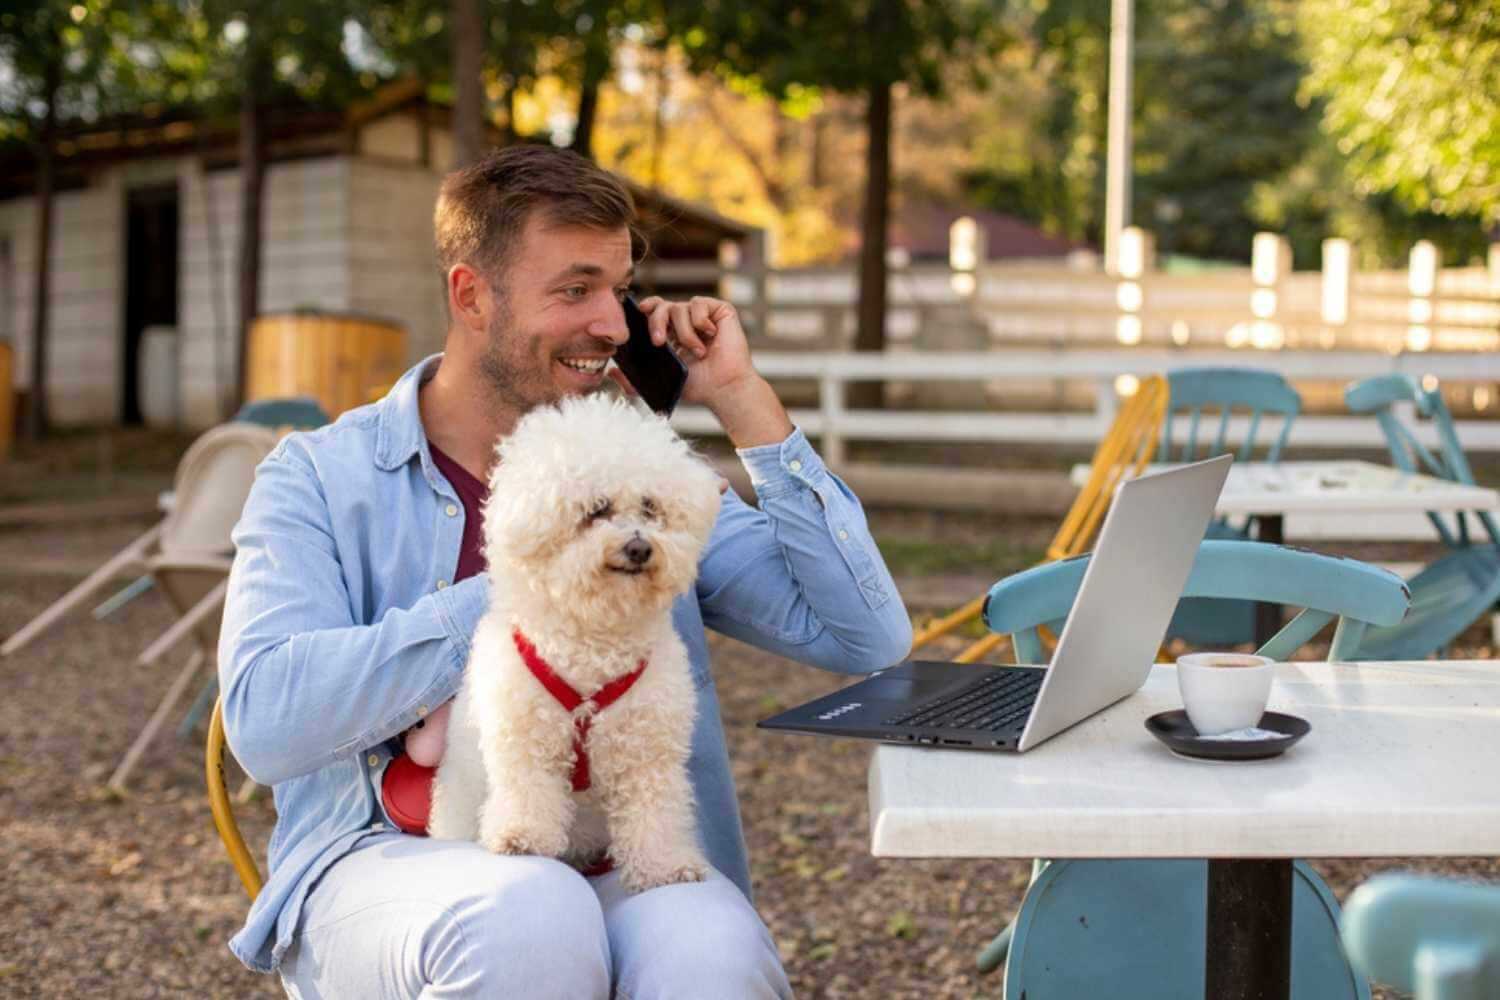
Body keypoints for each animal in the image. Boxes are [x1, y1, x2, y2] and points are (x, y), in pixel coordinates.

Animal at [426, 392, 723, 893]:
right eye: (597, 509)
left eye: (650, 507)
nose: (640, 548)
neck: (595, 643)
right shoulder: (523, 737)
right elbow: (527, 790)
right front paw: (522, 836)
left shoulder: (649, 753)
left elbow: (656, 812)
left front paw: (664, 866)